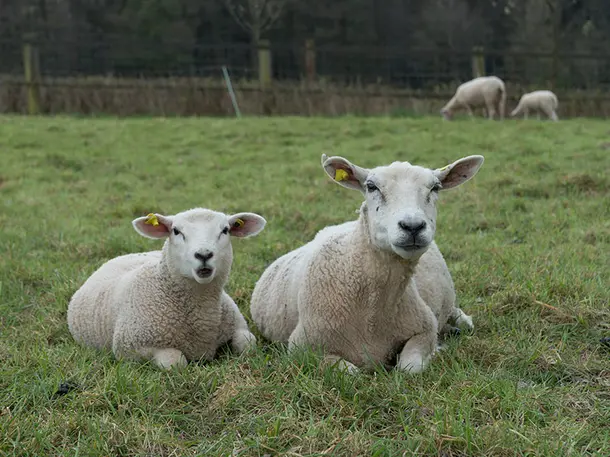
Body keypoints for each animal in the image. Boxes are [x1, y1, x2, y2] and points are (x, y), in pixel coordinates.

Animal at [67, 208, 264, 368]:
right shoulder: (131, 347)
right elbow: (175, 361)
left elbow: (248, 344)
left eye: (225, 230)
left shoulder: (238, 326)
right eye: (176, 231)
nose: (204, 254)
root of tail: (128, 255)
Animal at [249, 153, 482, 374]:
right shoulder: (301, 349)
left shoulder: (425, 328)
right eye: (371, 186)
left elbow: (410, 368)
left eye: (435, 187)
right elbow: (351, 372)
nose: (413, 226)